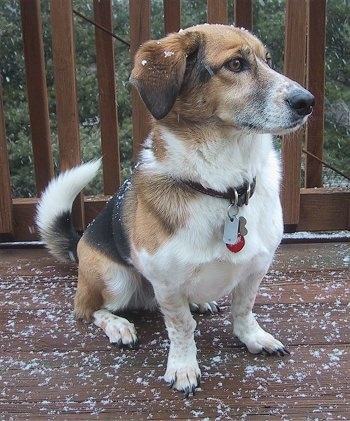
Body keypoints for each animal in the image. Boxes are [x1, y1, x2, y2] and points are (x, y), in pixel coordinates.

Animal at [36, 24, 314, 396]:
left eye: (268, 60)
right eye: (236, 64)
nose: (307, 102)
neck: (224, 188)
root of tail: (79, 243)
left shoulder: (256, 267)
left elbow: (243, 309)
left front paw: (253, 338)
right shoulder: (166, 283)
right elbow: (182, 326)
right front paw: (183, 368)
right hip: (114, 278)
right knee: (88, 310)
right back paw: (118, 326)